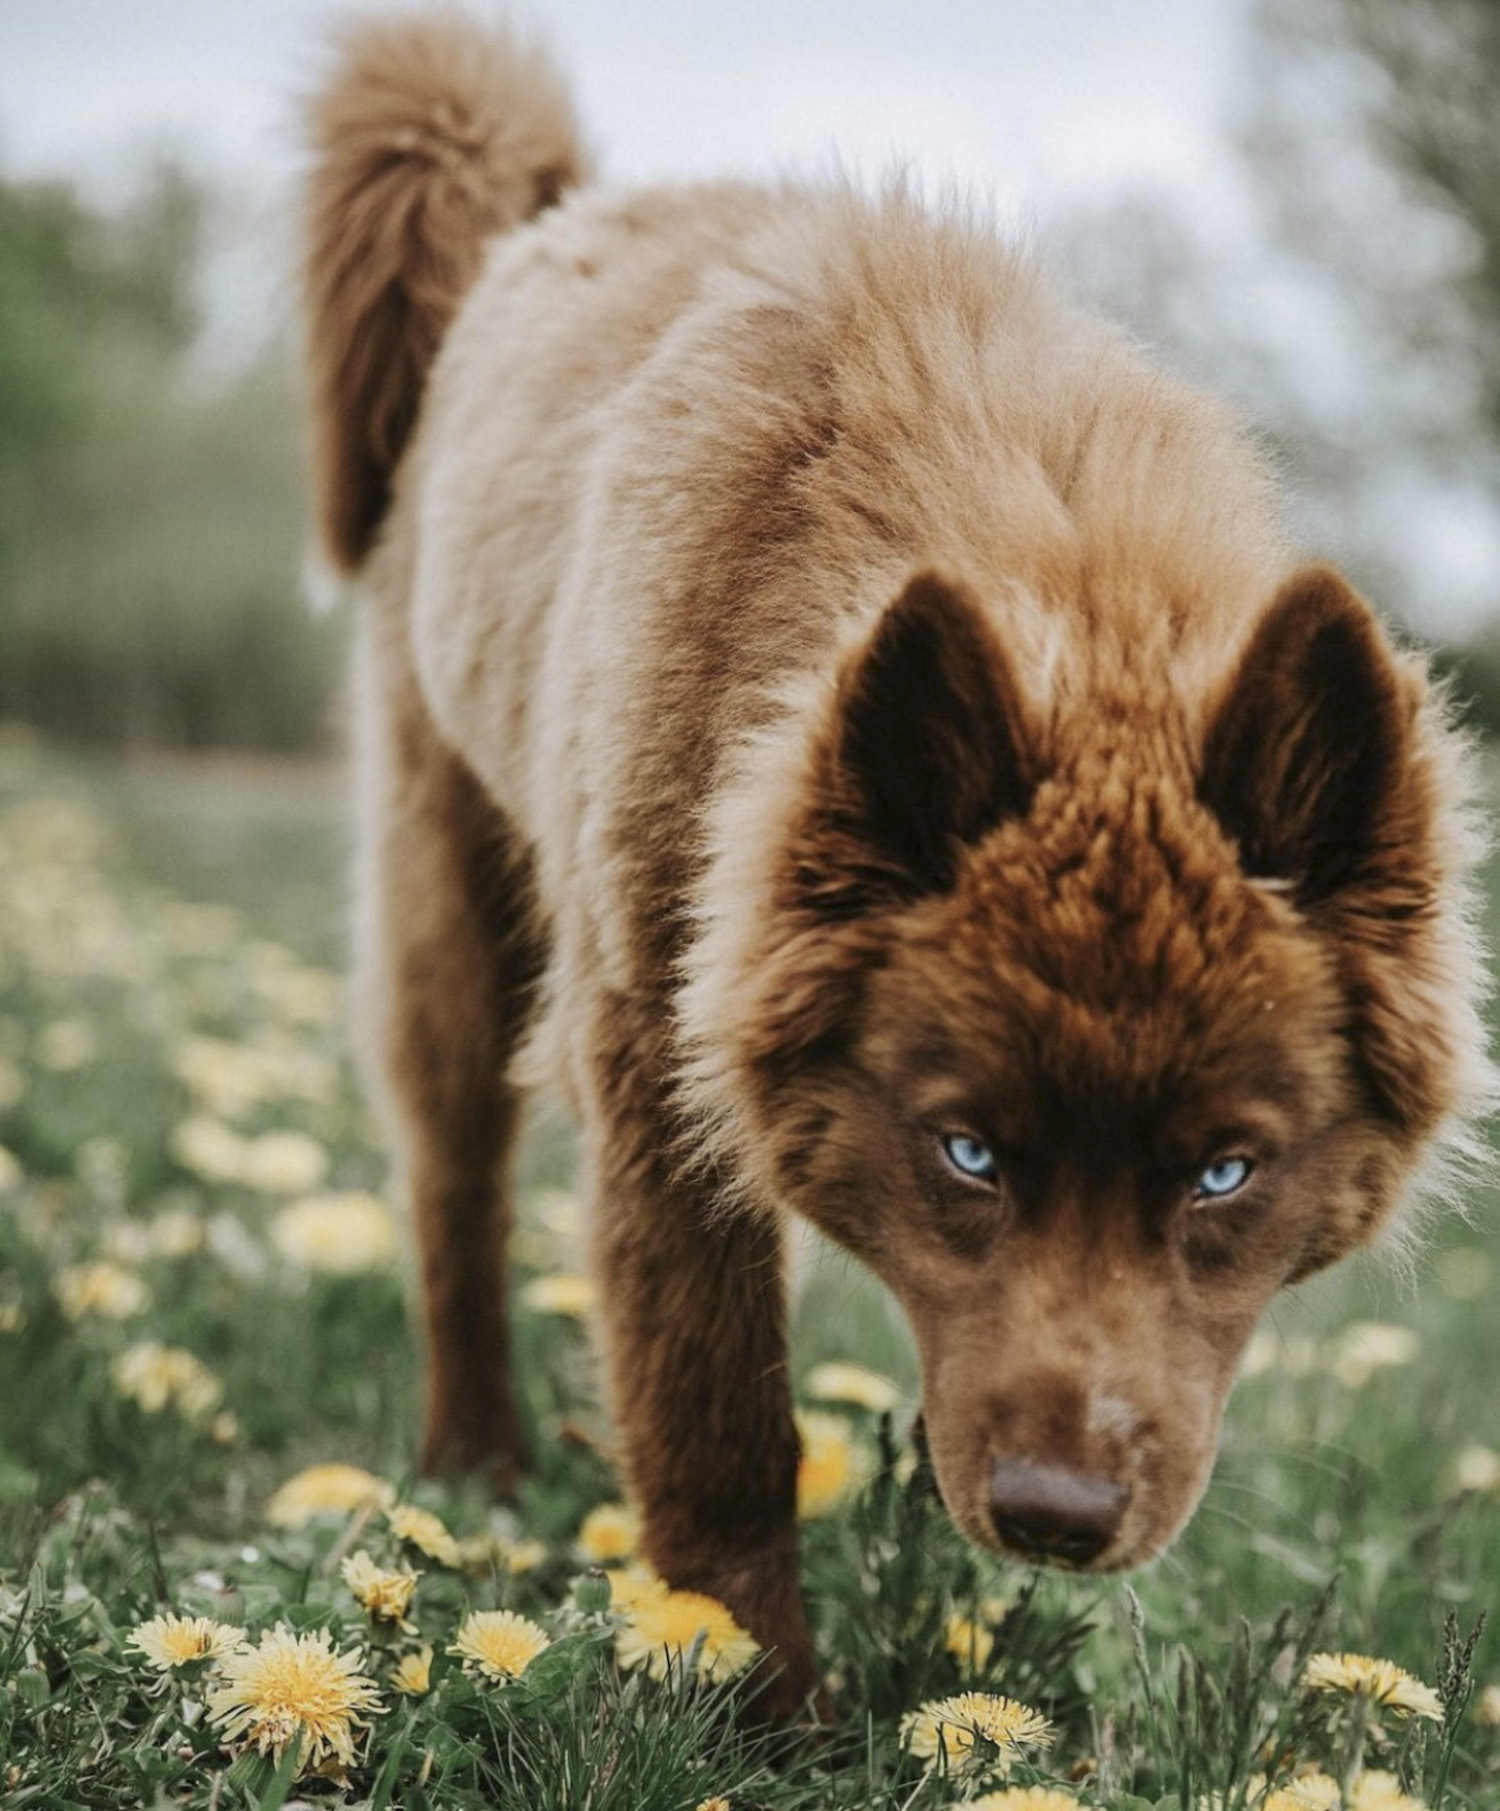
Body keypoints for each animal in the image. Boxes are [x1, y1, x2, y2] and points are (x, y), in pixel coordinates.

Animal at [302, 10, 1485, 1709]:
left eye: (1226, 1170)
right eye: (968, 1147)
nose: (1055, 1516)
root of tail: (547, 216)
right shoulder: (657, 1065)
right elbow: (719, 1418)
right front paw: (753, 1708)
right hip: (449, 873)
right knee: (453, 1184)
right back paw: (478, 1462)